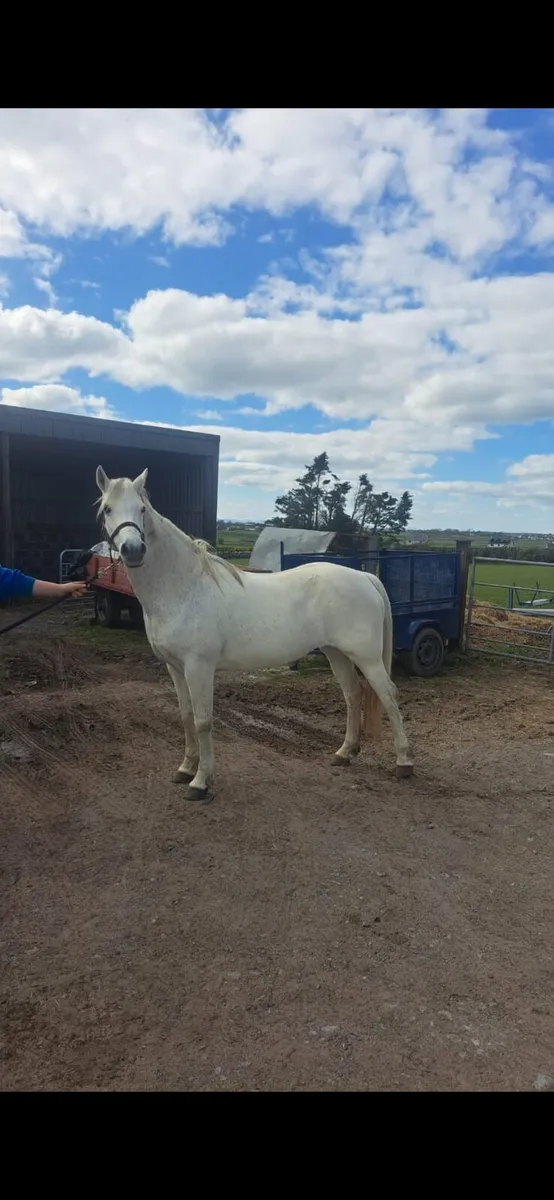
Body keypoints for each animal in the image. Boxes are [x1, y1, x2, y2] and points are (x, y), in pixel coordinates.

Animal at [95, 466, 414, 801]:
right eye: (107, 509)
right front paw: (185, 769)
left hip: (366, 657)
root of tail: (365, 576)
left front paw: (200, 781)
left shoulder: (199, 667)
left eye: (142, 509)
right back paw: (344, 753)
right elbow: (185, 716)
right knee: (353, 695)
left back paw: (404, 762)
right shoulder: (175, 668)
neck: (184, 588)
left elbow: (203, 721)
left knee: (388, 695)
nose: (133, 550)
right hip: (336, 653)